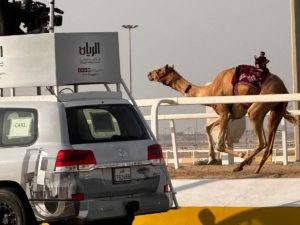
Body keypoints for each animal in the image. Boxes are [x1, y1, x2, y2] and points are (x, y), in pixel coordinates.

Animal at [146, 64, 296, 173]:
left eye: (160, 70)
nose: (149, 74)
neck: (210, 90)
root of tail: (284, 88)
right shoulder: (229, 115)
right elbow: (207, 127)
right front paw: (211, 158)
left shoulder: (224, 112)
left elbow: (220, 144)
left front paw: (241, 154)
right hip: (276, 110)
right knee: (269, 144)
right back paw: (255, 168)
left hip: (260, 105)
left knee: (262, 140)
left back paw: (241, 165)